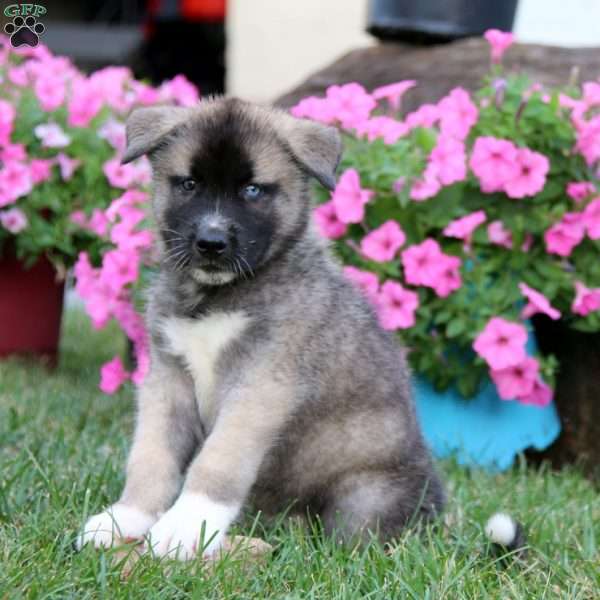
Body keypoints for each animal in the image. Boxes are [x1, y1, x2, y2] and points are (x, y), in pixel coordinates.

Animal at [77, 96, 446, 560]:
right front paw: (127, 517)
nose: (211, 243)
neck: (216, 297)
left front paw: (185, 528)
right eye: (189, 184)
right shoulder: (168, 378)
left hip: (366, 495)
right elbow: (151, 457)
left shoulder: (262, 384)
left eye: (252, 190)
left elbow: (218, 460)